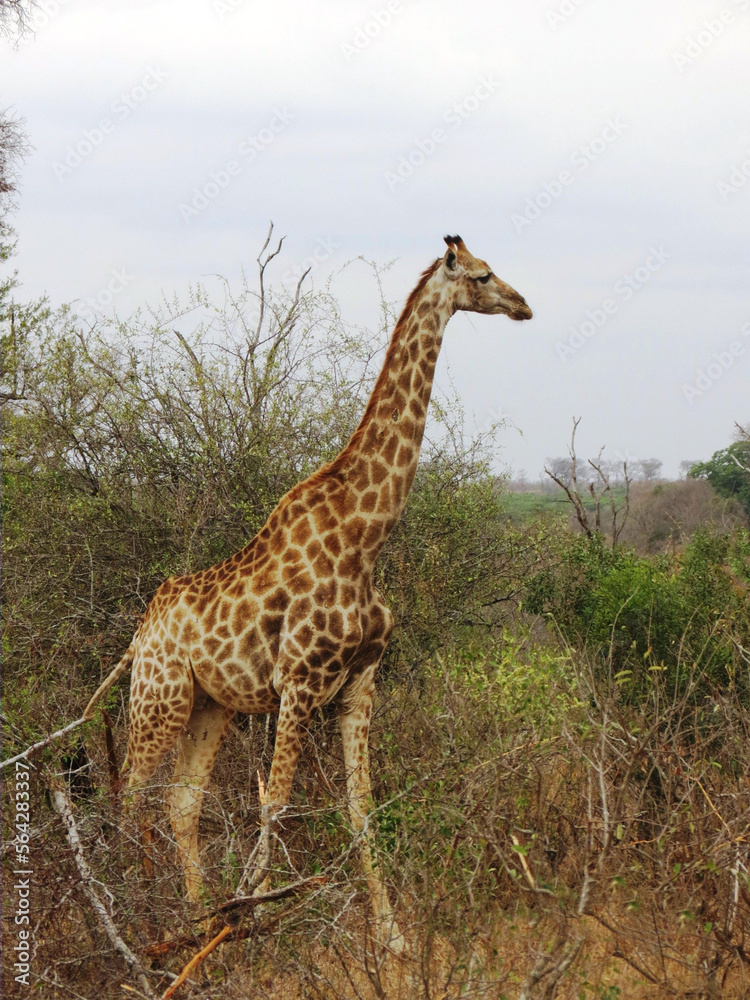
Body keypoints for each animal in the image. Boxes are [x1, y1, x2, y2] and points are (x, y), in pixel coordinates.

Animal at [83, 235, 532, 940]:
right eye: (483, 275)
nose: (523, 305)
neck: (365, 536)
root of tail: (140, 633)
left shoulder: (359, 684)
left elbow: (361, 807)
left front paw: (392, 935)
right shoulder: (298, 684)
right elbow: (278, 803)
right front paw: (257, 915)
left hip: (211, 705)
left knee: (181, 804)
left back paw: (198, 918)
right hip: (161, 698)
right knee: (130, 795)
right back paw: (138, 919)